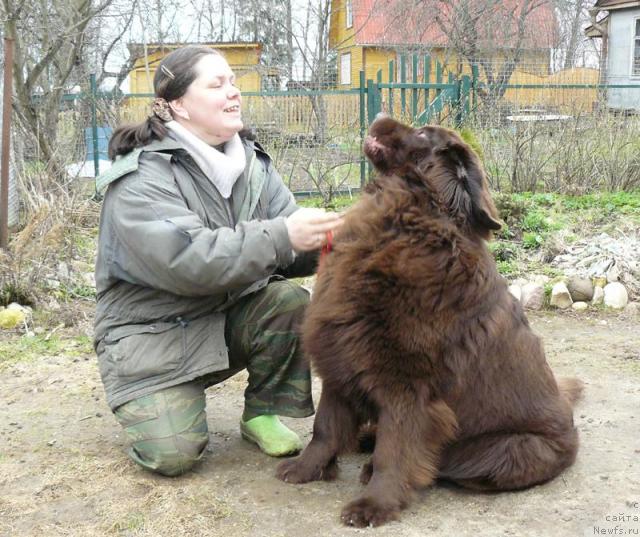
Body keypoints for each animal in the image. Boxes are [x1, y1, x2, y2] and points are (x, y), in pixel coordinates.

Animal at [276, 116, 580, 524]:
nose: (380, 116)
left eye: (421, 133)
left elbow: (395, 450)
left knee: (447, 464)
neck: (406, 215)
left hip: (508, 452)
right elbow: (324, 428)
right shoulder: (340, 357)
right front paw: (304, 469)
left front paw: (373, 505)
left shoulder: (407, 385)